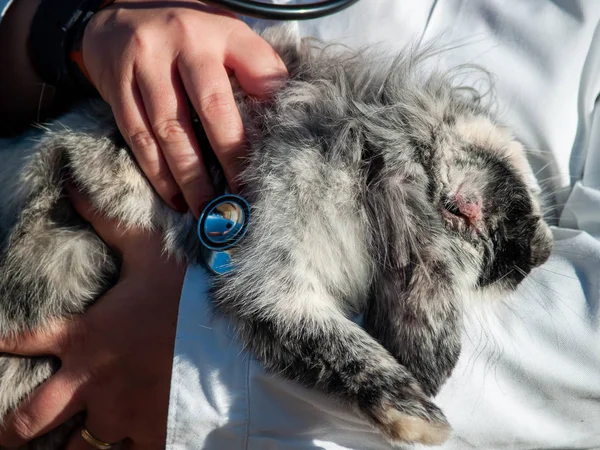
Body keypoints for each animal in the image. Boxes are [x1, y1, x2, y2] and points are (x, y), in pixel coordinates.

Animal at [0, 26, 552, 448]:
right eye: (512, 197)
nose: (541, 255)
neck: (361, 151)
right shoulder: (274, 272)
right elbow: (340, 344)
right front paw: (421, 423)